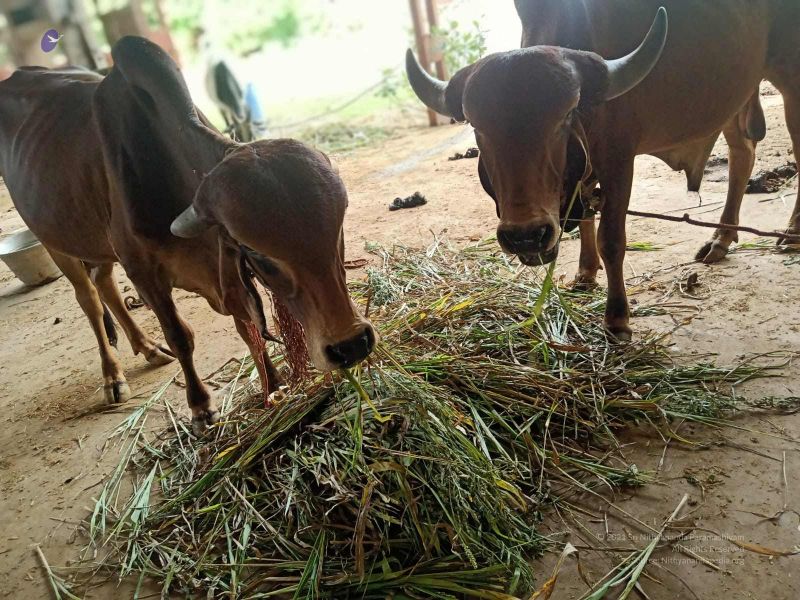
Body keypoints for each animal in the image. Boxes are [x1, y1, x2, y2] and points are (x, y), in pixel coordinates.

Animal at [0, 36, 376, 433]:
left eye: (338, 228)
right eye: (257, 253)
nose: (351, 345)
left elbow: (247, 327)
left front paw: (274, 383)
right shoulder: (144, 271)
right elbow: (181, 337)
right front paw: (200, 407)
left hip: (99, 242)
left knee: (104, 283)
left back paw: (148, 349)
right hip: (55, 242)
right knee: (89, 298)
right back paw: (113, 377)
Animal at [406, 0, 800, 340]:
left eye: (564, 117)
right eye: (477, 126)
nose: (526, 236)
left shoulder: (618, 160)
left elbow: (611, 240)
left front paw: (617, 318)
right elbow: (584, 219)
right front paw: (584, 273)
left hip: (789, 79)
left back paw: (790, 234)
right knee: (742, 154)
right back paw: (721, 239)